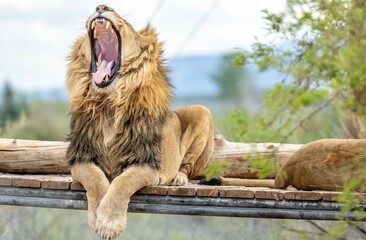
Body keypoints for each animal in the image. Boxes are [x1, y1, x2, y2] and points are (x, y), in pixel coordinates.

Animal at [66, 4, 214, 239]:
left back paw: (179, 178)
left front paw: (109, 222)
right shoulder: (81, 157)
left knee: (187, 166)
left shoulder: (147, 162)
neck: (109, 103)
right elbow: (96, 180)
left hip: (202, 112)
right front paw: (98, 214)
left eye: (125, 21)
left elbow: (122, 182)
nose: (101, 6)